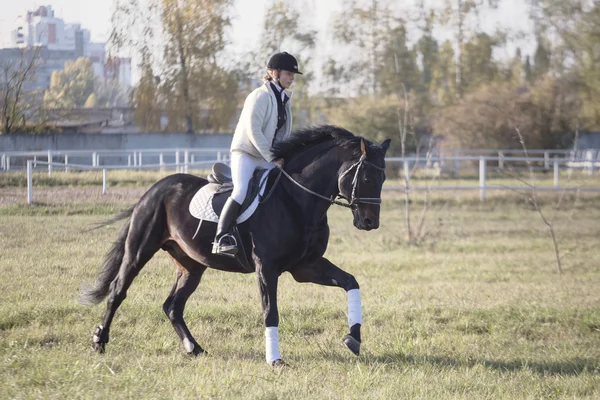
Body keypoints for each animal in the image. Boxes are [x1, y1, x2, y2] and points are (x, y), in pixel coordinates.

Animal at [82, 125, 392, 366]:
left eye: (383, 178)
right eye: (366, 177)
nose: (369, 222)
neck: (296, 199)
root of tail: (156, 188)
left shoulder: (306, 267)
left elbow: (350, 282)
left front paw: (353, 338)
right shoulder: (266, 268)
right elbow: (270, 311)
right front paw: (275, 360)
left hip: (191, 266)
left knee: (173, 306)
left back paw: (194, 348)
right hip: (140, 251)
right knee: (118, 291)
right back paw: (99, 340)